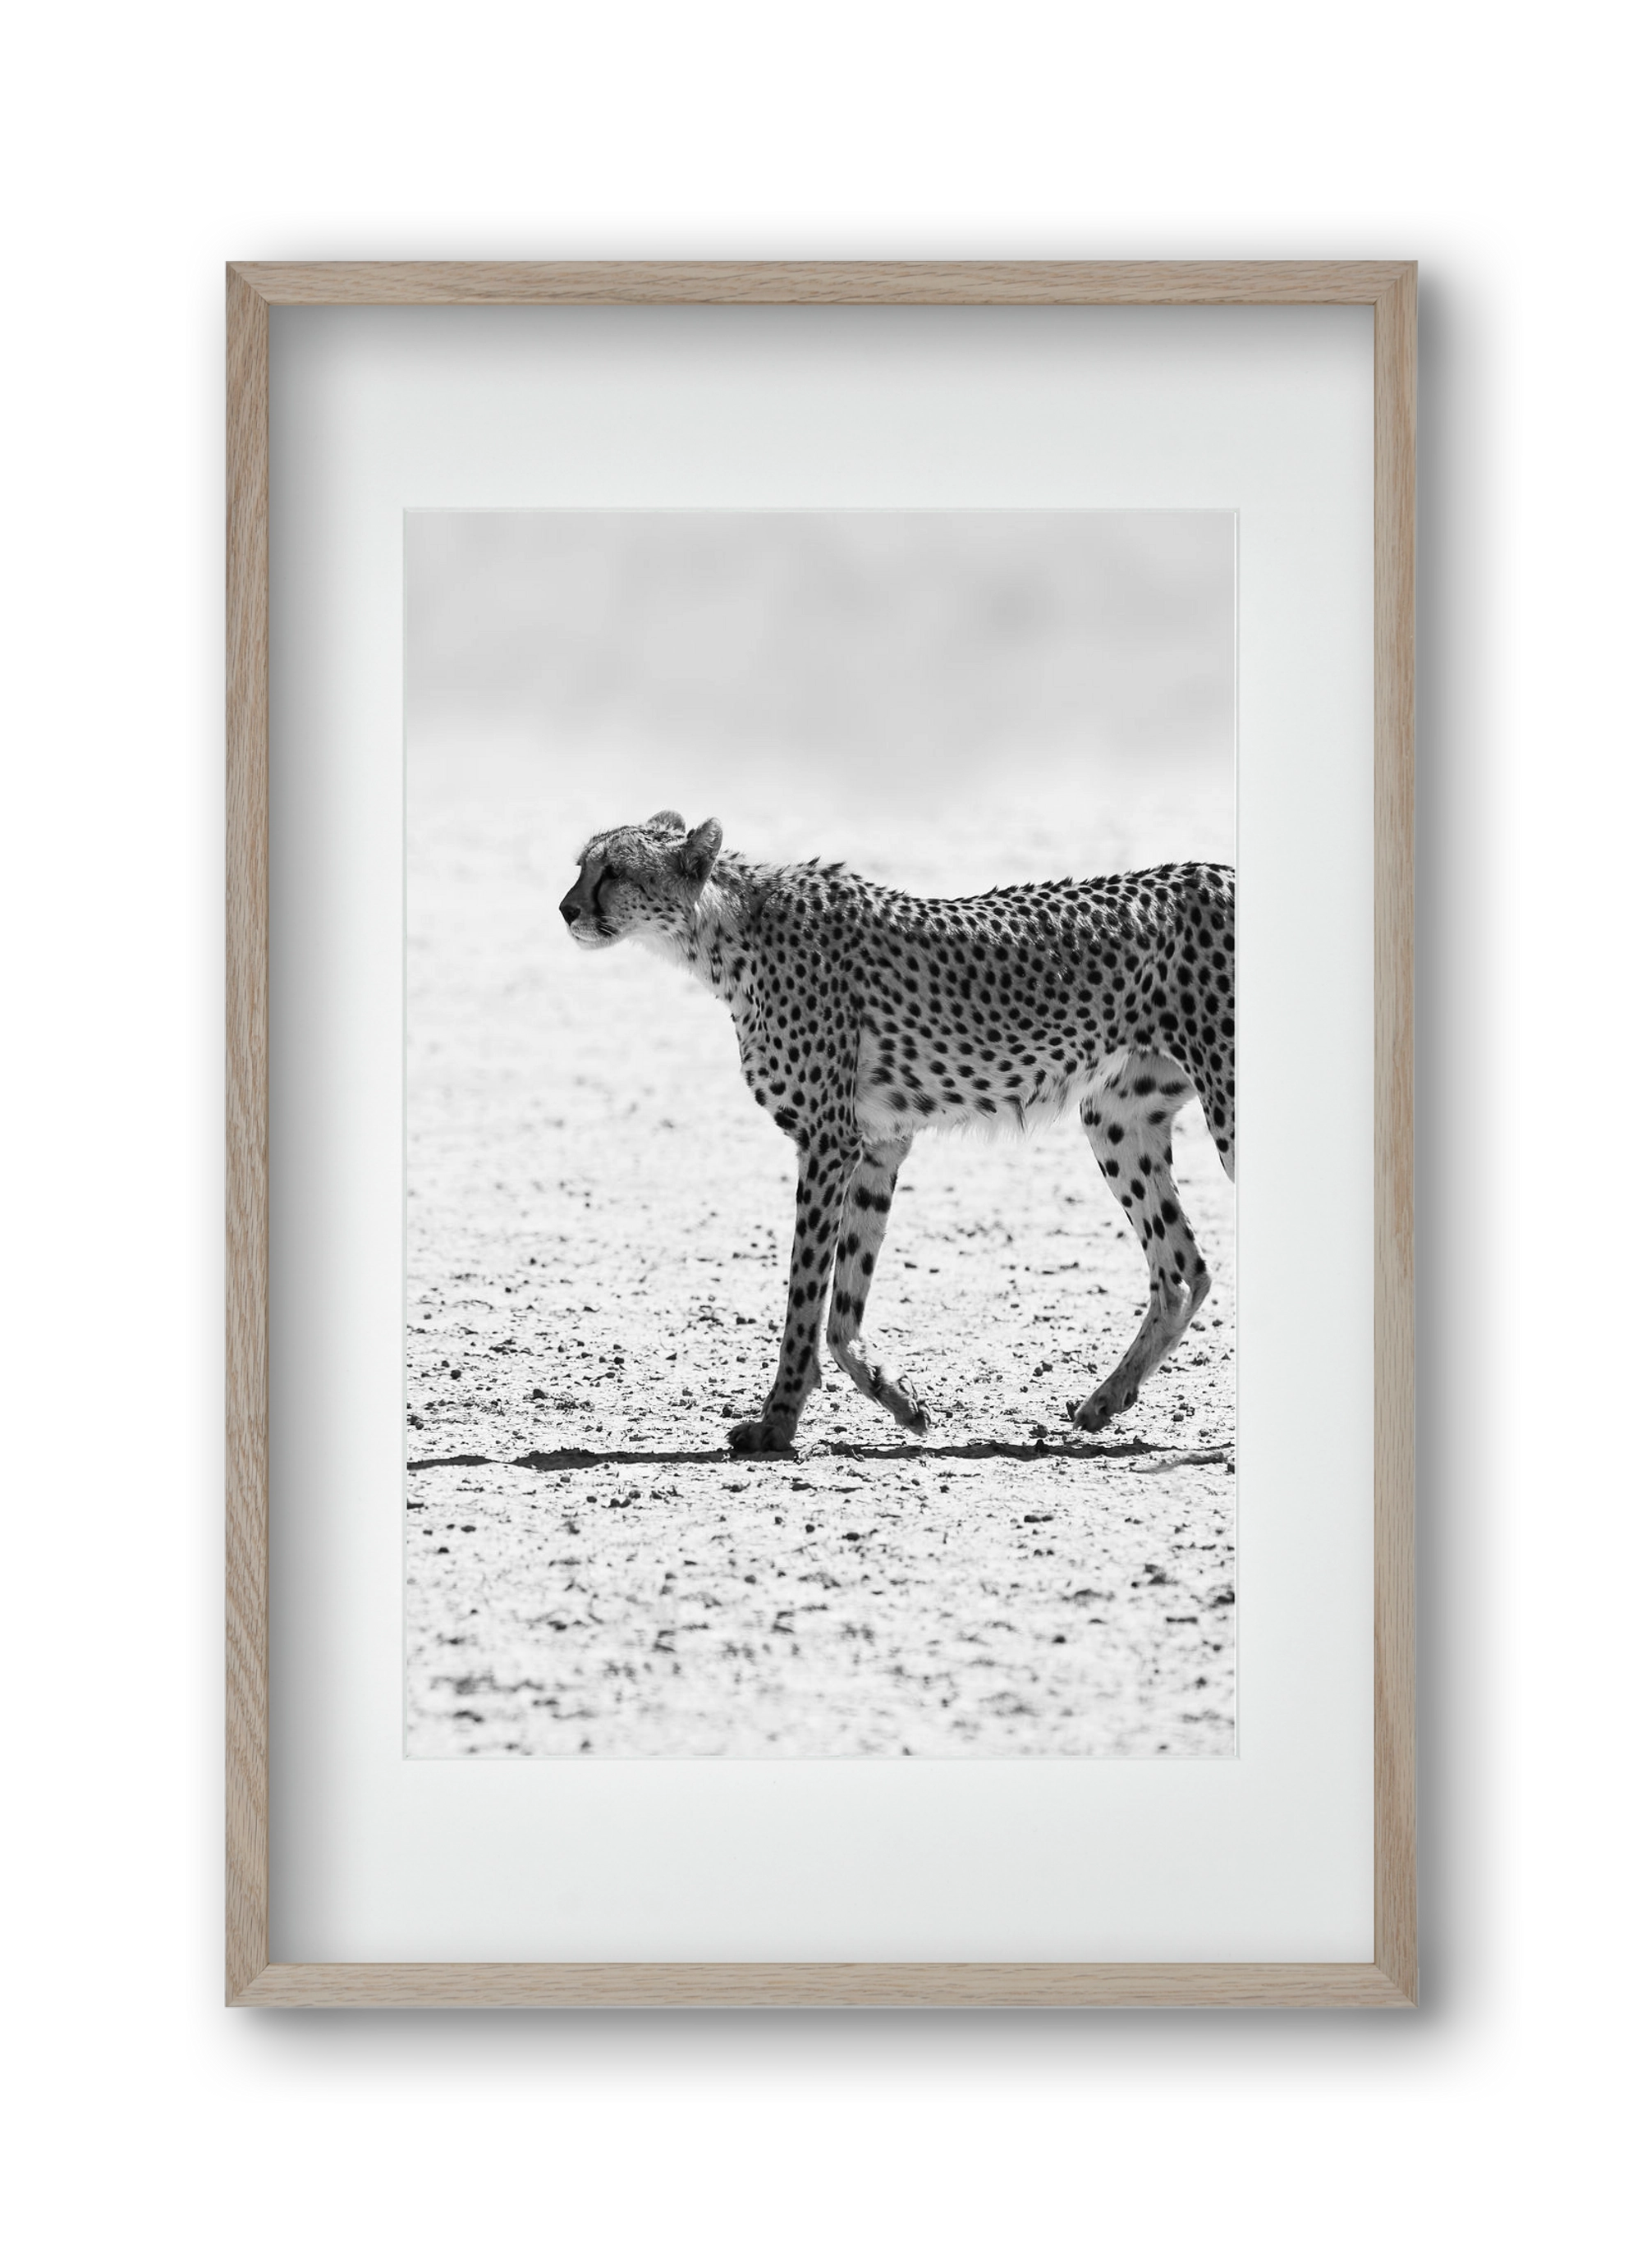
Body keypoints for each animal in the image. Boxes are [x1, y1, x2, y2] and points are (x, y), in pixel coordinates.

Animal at [559, 811, 1234, 1454]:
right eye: (582, 865)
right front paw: (899, 1399)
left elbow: (805, 1295)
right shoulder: (878, 1144)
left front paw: (777, 1422)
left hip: (1223, 1105)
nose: (566, 908)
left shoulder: (828, 1141)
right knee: (1182, 1270)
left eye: (614, 871)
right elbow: (842, 1306)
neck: (724, 931)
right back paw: (1106, 1400)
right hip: (1117, 1118)